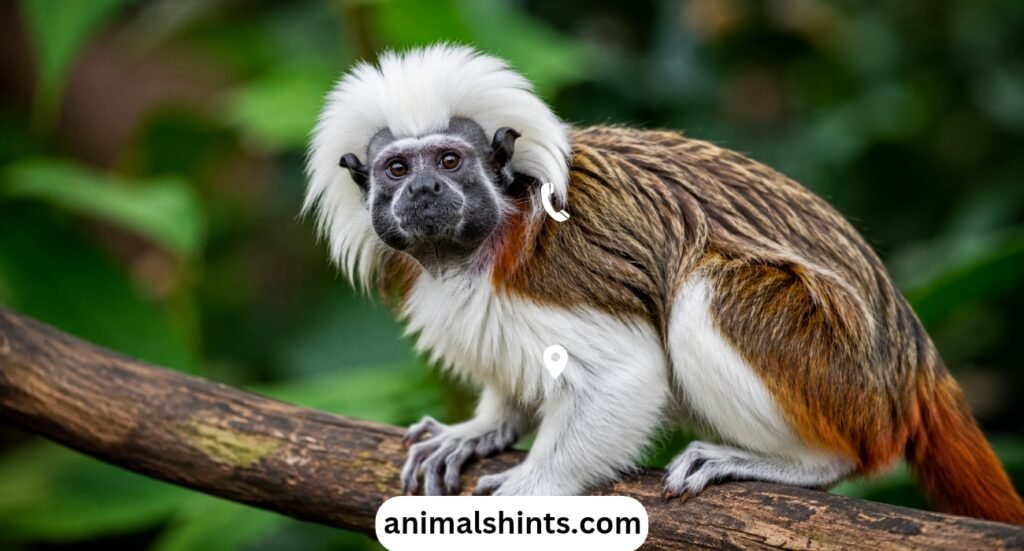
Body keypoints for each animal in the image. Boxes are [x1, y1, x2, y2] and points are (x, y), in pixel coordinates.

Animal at [304, 44, 1024, 524]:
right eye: (397, 169)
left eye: (450, 160)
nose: (425, 190)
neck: (477, 247)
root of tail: (911, 361)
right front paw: (481, 428)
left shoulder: (556, 275)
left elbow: (625, 375)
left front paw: (533, 485)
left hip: (839, 375)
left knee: (707, 293)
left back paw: (806, 461)